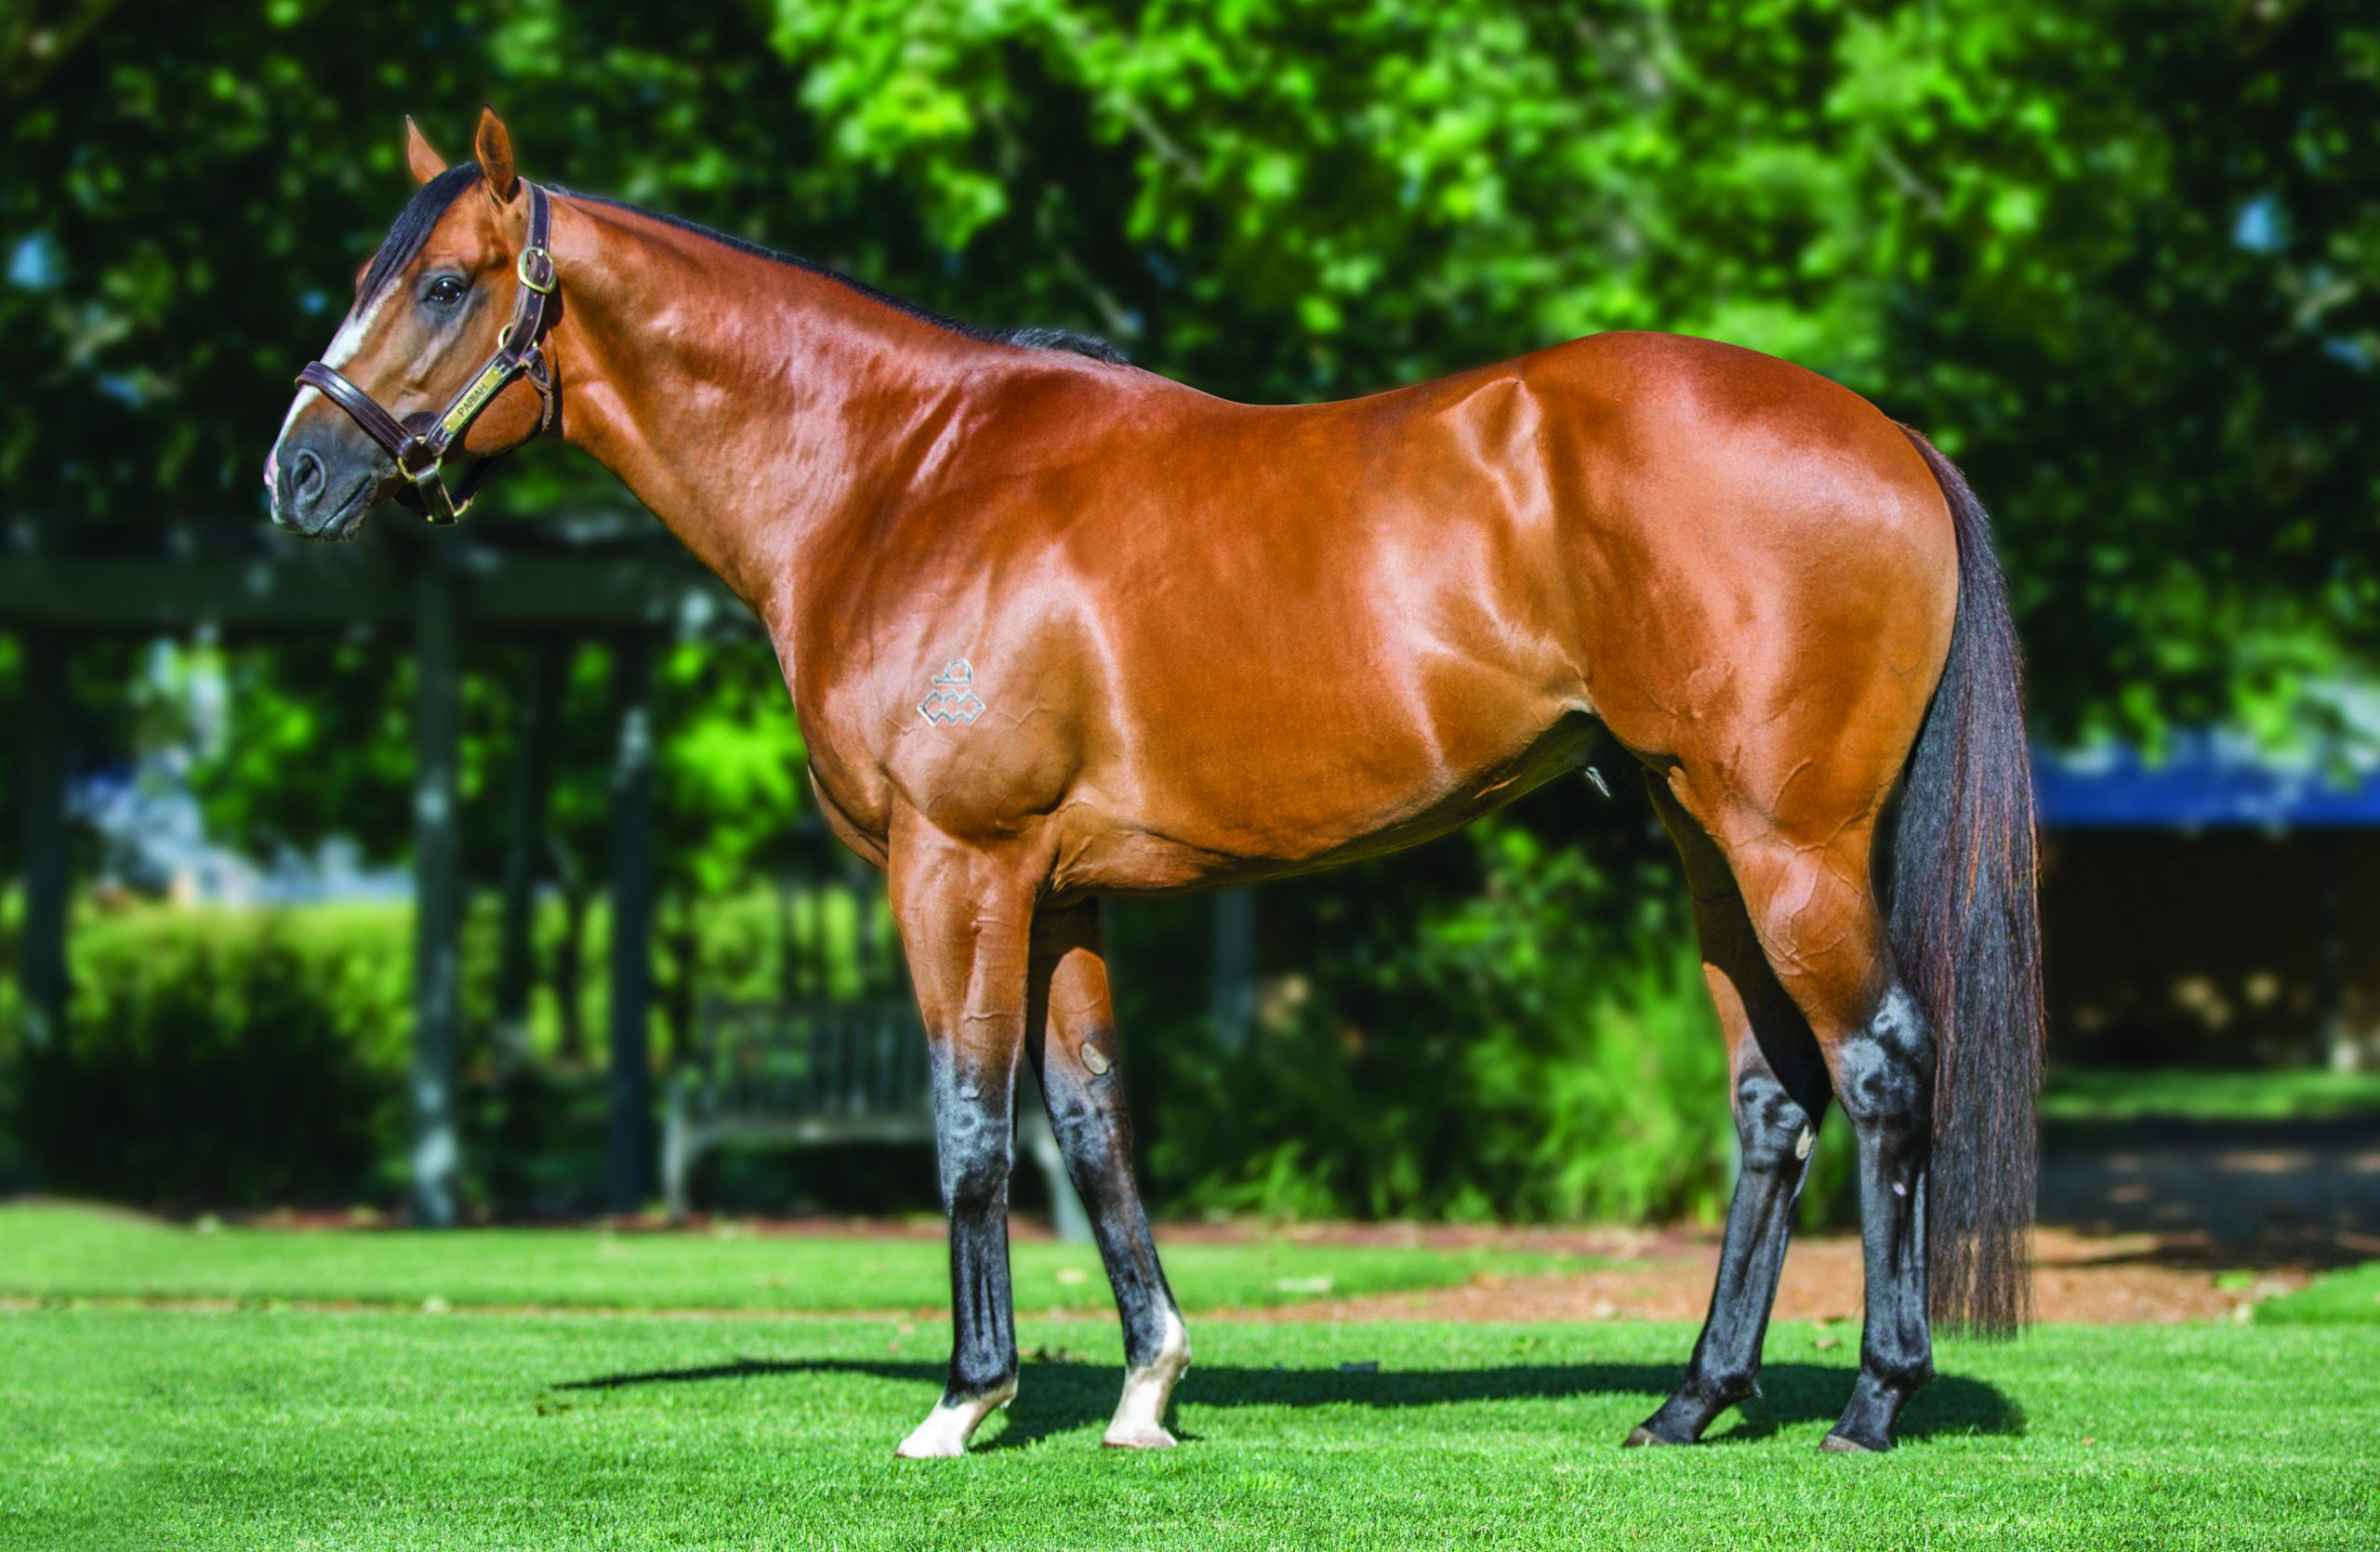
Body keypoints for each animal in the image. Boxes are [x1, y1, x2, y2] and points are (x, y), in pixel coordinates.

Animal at [270, 115, 2037, 1456]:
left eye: (442, 283)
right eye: (367, 278)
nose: (298, 468)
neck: (900, 472)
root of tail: (1887, 436)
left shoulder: (957, 866)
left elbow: (970, 1124)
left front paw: (965, 1399)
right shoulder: (1063, 890)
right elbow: (1092, 1120)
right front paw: (1143, 1388)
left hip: (1789, 844)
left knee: (1882, 1065)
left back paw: (1874, 1399)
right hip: (1702, 841)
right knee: (1772, 1098)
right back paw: (1692, 1399)